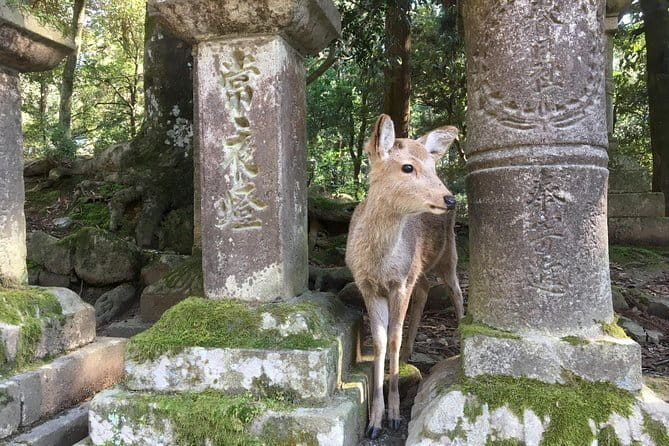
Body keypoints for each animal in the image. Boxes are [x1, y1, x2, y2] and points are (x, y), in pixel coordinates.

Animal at [345, 114, 464, 439]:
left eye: (433, 166)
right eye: (407, 167)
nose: (450, 199)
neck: (380, 264)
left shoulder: (400, 283)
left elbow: (393, 338)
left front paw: (395, 415)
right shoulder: (366, 285)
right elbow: (380, 341)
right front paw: (374, 421)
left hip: (448, 254)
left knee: (456, 290)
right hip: (419, 269)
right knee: (424, 289)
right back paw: (412, 352)